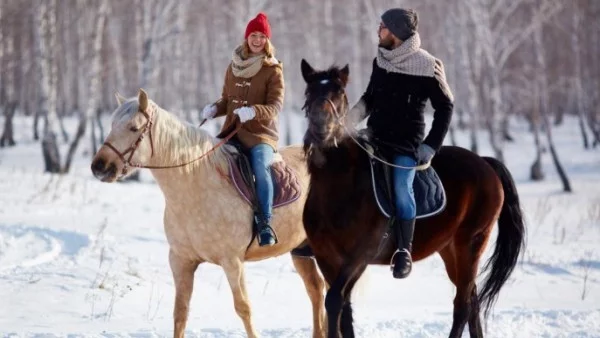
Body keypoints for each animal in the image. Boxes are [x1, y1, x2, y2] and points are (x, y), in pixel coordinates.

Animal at [91, 90, 326, 338]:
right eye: (112, 124)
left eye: (134, 128)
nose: (99, 167)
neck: (197, 185)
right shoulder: (181, 260)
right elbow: (180, 311)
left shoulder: (233, 262)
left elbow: (243, 308)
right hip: (301, 251)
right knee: (317, 290)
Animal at [300, 60, 524, 338]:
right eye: (309, 92)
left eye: (339, 93)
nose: (321, 128)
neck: (340, 186)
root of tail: (485, 162)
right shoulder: (326, 257)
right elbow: (343, 309)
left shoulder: (359, 256)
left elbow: (334, 300)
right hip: (450, 250)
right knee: (472, 299)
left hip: (471, 243)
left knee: (462, 304)